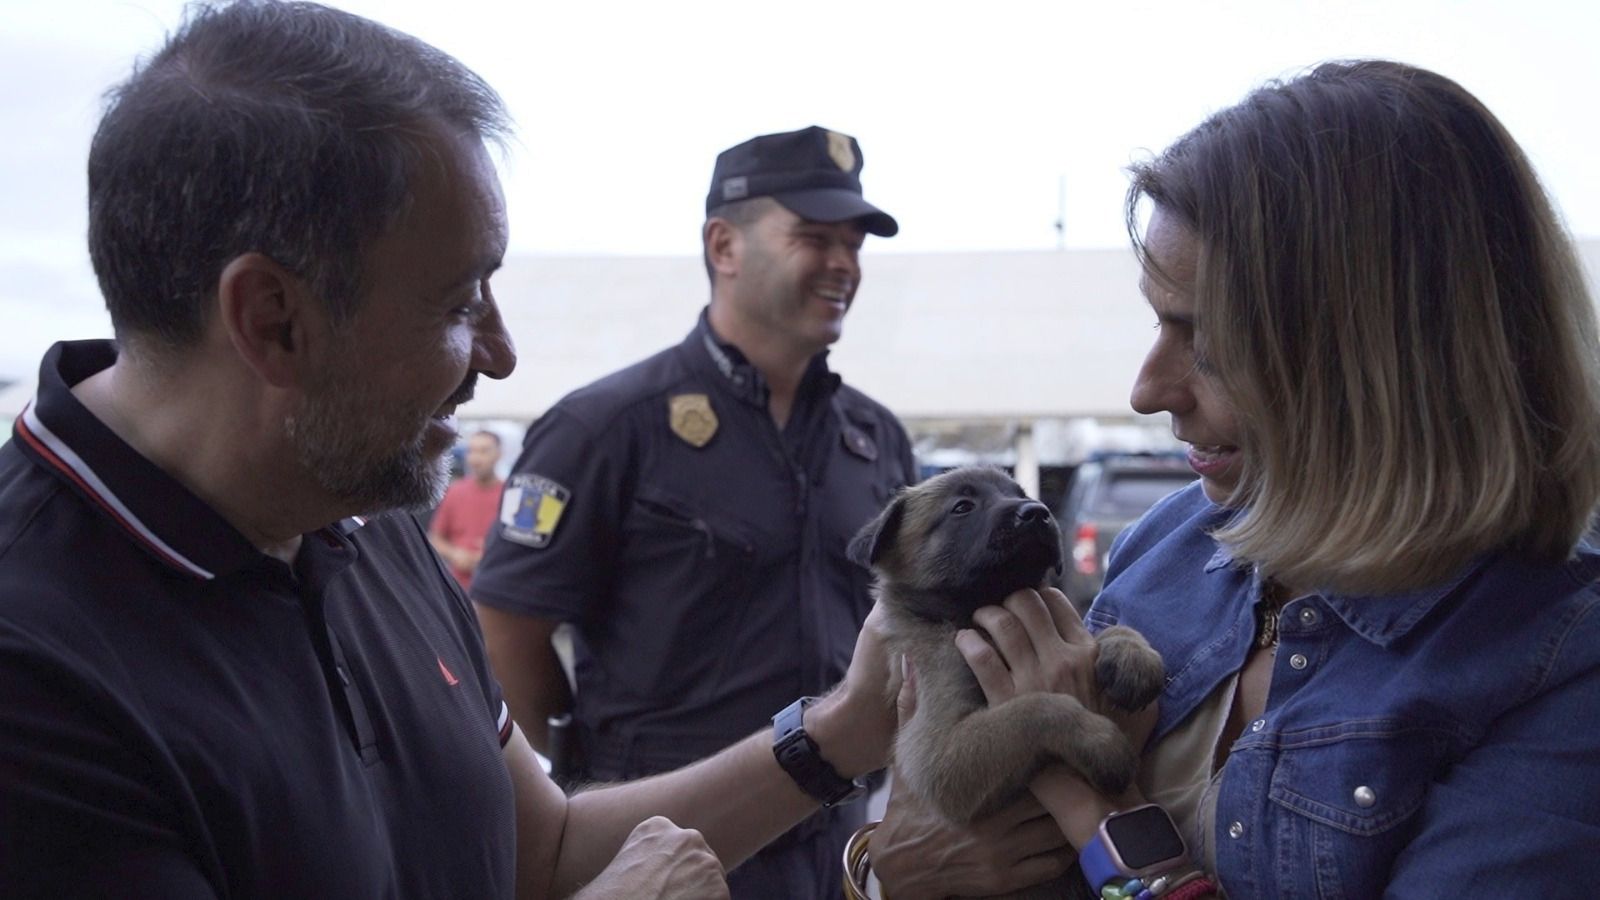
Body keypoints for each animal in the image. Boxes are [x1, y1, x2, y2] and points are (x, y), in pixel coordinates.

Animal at [851, 464, 1164, 890]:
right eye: (962, 507)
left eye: (1021, 493)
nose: (1038, 513)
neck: (979, 611)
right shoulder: (936, 755)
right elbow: (1037, 707)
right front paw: (1101, 742)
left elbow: (1102, 633)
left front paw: (1133, 654)